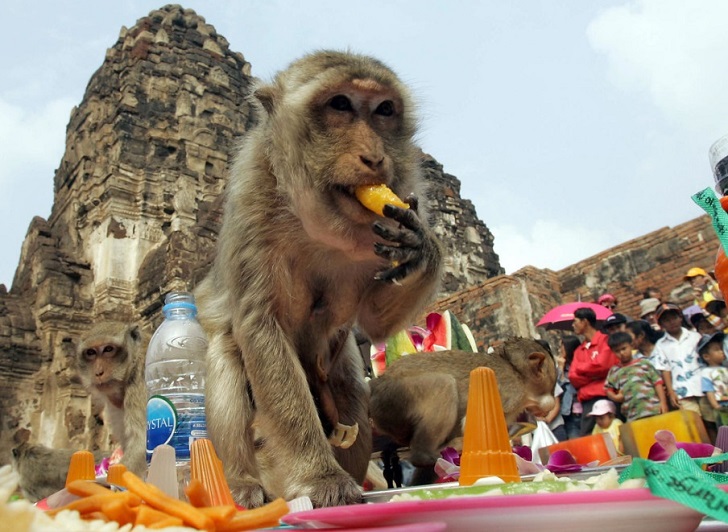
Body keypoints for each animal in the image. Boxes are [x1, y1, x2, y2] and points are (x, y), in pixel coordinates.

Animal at [370, 338, 556, 484]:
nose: (552, 404)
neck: (516, 372)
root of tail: (377, 385)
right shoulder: (512, 393)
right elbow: (471, 423)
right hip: (395, 397)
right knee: (443, 384)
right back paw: (425, 455)